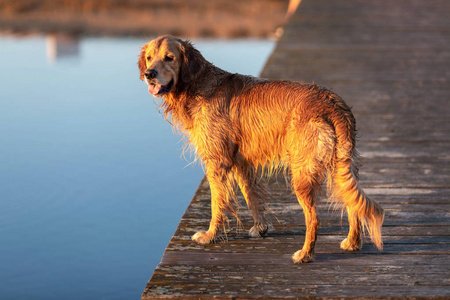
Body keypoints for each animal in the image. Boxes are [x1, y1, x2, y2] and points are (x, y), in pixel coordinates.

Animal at [137, 35, 384, 262]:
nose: (149, 74)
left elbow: (218, 203)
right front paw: (260, 229)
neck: (197, 86)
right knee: (352, 202)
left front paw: (210, 235)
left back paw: (305, 254)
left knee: (314, 218)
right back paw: (352, 242)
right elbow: (251, 197)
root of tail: (332, 103)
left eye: (169, 58)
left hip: (302, 172)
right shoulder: (240, 162)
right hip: (340, 165)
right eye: (149, 58)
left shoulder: (217, 161)